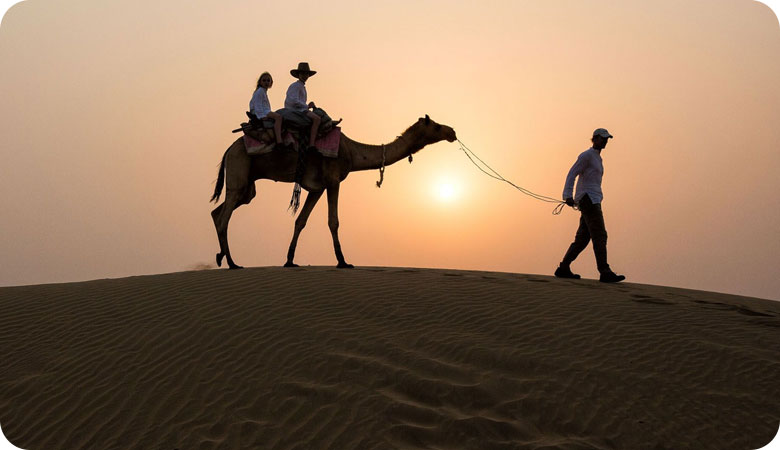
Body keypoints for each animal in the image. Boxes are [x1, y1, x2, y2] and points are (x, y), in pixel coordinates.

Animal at [213, 116, 458, 268]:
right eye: (436, 126)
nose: (452, 131)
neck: (353, 151)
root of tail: (228, 150)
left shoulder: (317, 187)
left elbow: (300, 221)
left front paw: (290, 260)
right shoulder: (333, 180)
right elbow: (334, 221)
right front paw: (343, 262)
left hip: (246, 186)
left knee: (218, 212)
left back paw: (221, 257)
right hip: (239, 171)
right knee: (224, 216)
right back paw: (233, 263)